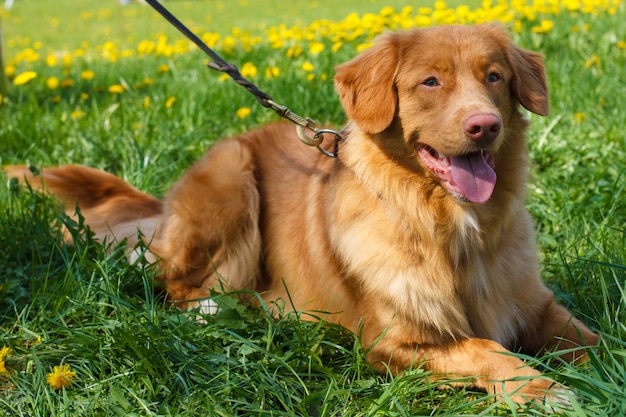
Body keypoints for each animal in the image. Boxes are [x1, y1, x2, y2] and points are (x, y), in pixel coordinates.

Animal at [6, 24, 600, 404]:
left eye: (494, 76)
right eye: (430, 81)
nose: (484, 126)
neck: (452, 230)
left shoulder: (536, 306)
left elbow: (593, 339)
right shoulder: (394, 342)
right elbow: (488, 350)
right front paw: (544, 389)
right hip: (230, 179)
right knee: (174, 285)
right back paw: (235, 310)